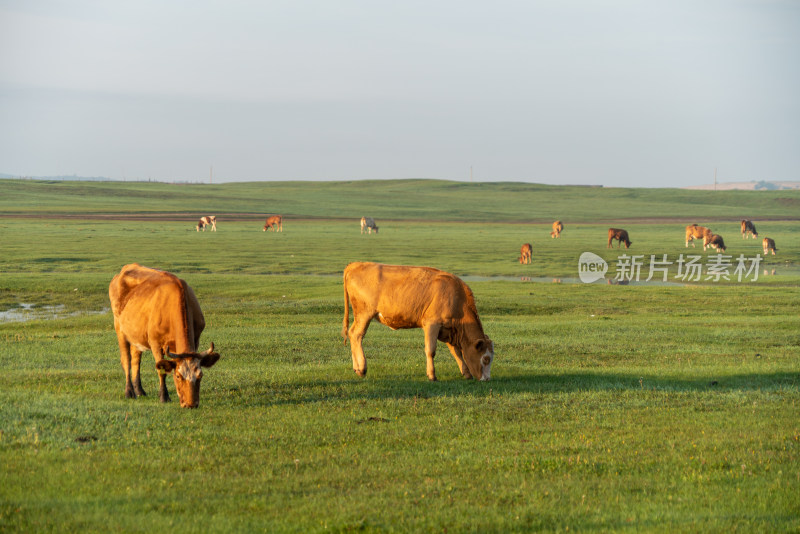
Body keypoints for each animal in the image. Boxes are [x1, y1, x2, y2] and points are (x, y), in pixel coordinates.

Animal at [108, 264, 222, 410]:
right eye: (178, 376)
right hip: (120, 331)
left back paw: (139, 391)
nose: (191, 405)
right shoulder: (155, 343)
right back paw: (129, 392)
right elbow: (161, 370)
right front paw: (164, 397)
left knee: (136, 360)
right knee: (126, 360)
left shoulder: (196, 340)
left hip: (136, 335)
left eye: (200, 375)